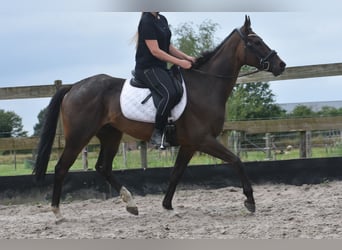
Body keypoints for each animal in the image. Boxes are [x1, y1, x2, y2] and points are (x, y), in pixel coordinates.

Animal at [34, 16, 286, 221]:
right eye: (256, 42)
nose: (281, 65)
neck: (205, 85)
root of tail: (74, 87)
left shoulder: (190, 144)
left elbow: (176, 173)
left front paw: (168, 207)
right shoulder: (204, 140)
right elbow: (236, 161)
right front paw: (250, 202)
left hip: (111, 134)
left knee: (103, 167)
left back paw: (131, 204)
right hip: (79, 136)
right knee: (61, 167)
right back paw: (57, 213)